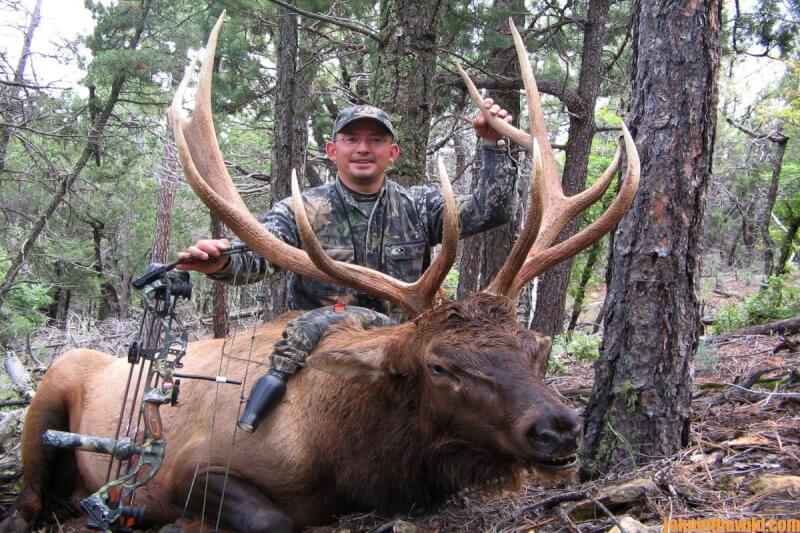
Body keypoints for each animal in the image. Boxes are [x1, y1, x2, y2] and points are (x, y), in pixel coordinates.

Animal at [0, 13, 639, 533]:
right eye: (439, 364)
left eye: (537, 345)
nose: (558, 427)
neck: (345, 458)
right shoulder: (182, 465)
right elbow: (272, 519)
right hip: (45, 406)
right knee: (26, 500)